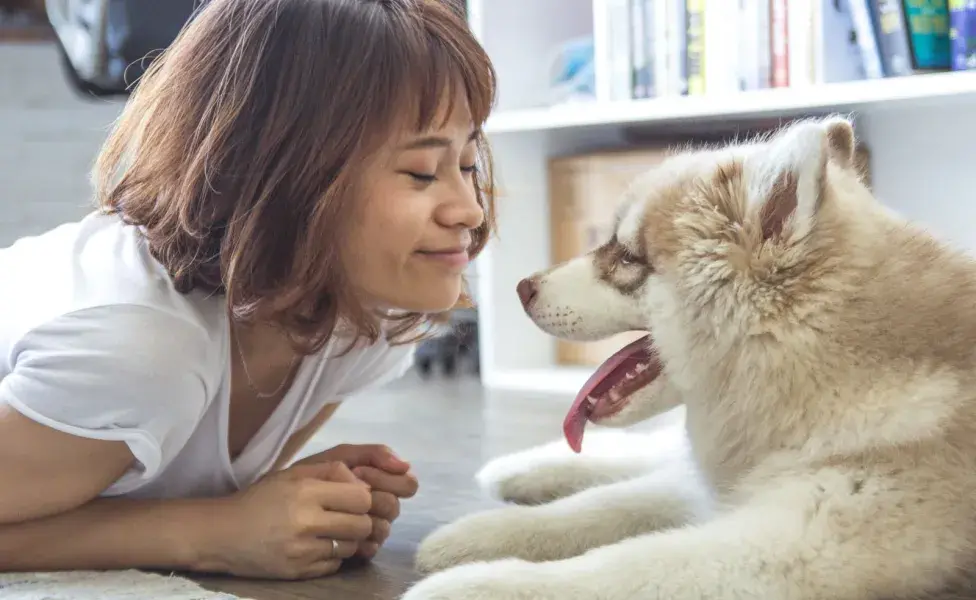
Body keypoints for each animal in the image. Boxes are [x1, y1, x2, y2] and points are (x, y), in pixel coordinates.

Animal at [398, 117, 976, 600]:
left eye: (627, 258)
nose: (521, 288)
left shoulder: (794, 545)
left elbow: (623, 565)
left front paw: (475, 585)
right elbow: (602, 506)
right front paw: (481, 532)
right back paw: (521, 468)